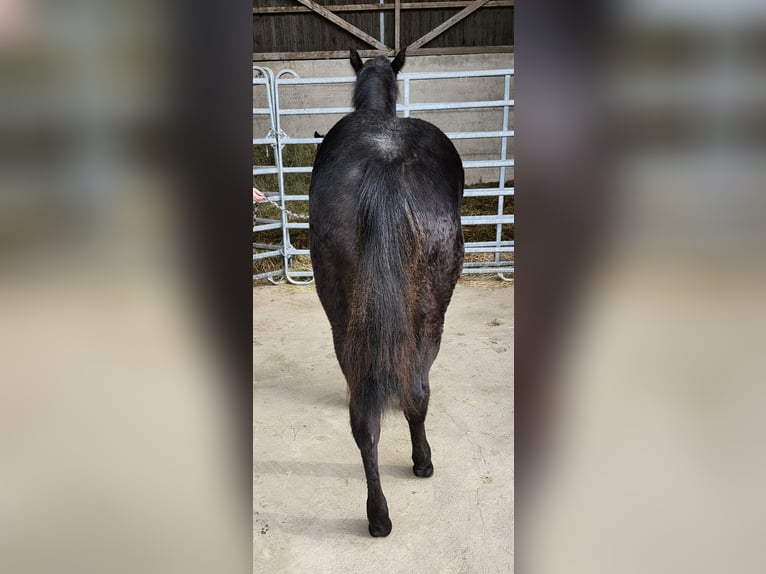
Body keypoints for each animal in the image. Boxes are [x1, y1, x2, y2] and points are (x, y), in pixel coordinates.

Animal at [308, 48, 464, 537]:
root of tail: (385, 165)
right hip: (431, 315)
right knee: (417, 391)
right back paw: (422, 462)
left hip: (342, 317)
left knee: (364, 419)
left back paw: (377, 515)